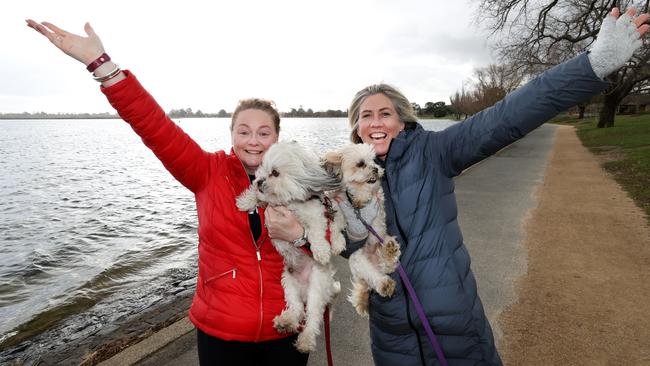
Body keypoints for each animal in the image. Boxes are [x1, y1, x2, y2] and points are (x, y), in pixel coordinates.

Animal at [234, 140, 344, 352]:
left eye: (275, 173)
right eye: (262, 169)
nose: (259, 181)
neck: (290, 202)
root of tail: (304, 290)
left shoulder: (316, 216)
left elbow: (315, 232)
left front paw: (321, 251)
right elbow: (260, 197)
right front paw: (246, 201)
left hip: (316, 287)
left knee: (313, 317)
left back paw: (306, 340)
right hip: (289, 283)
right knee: (297, 308)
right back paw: (286, 321)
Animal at [322, 143, 400, 318]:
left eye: (374, 161)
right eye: (360, 164)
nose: (376, 169)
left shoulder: (377, 203)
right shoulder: (337, 205)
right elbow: (336, 222)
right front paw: (337, 243)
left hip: (382, 242)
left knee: (389, 264)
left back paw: (389, 251)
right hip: (359, 261)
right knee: (376, 275)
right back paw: (384, 283)